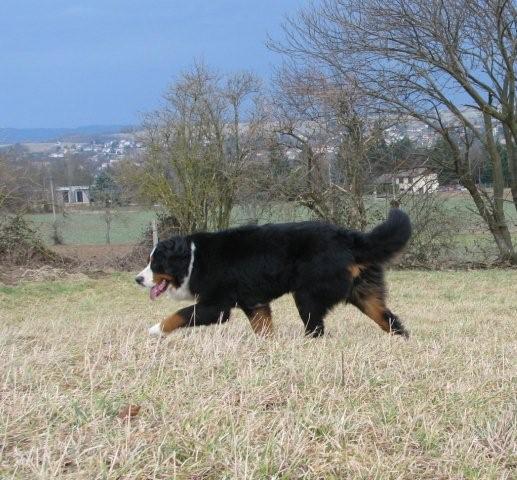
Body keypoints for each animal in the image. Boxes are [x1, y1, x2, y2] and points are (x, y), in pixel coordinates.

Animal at [136, 209, 412, 338]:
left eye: (156, 263)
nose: (137, 279)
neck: (193, 259)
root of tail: (349, 239)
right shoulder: (255, 304)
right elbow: (263, 329)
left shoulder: (215, 306)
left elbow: (180, 315)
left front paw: (155, 330)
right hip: (365, 295)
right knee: (391, 321)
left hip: (307, 297)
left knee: (315, 329)